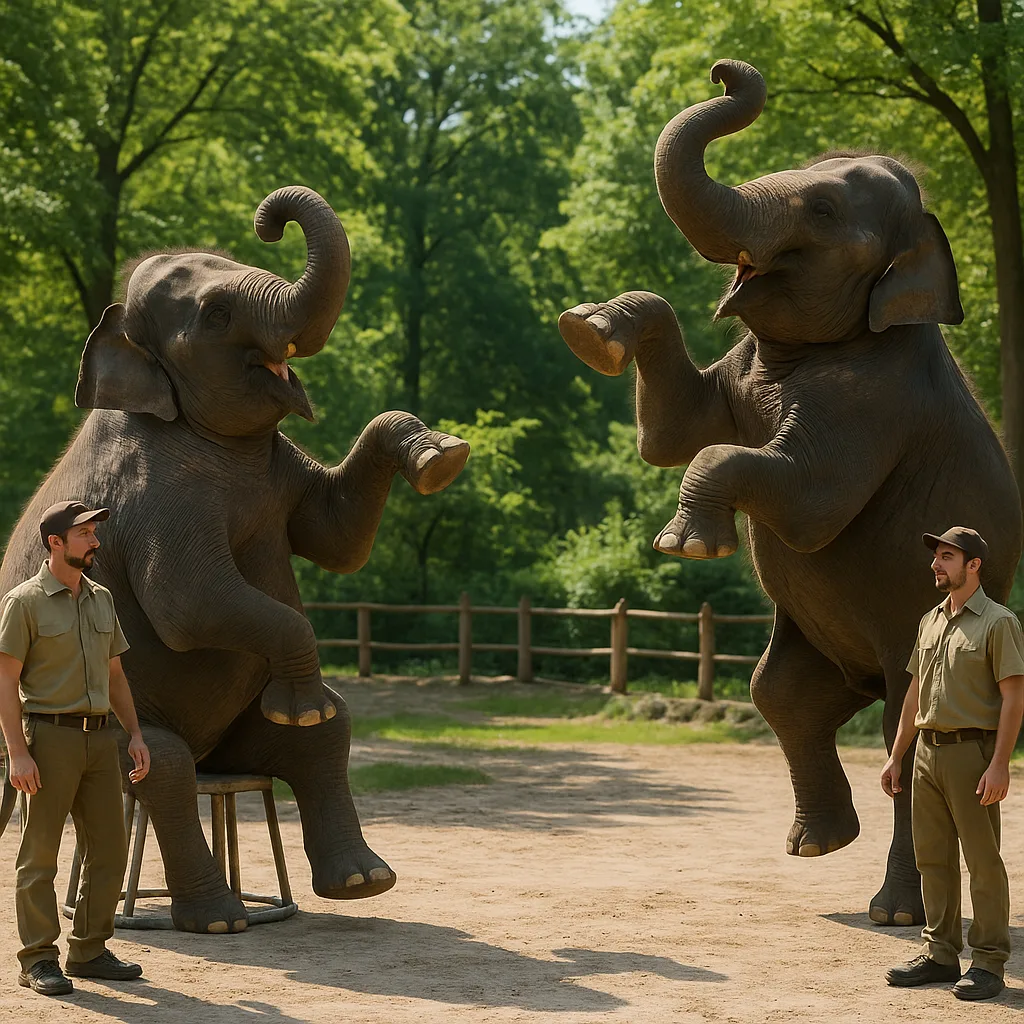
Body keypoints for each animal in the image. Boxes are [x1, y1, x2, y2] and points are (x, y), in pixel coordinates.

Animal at [0, 185, 470, 933]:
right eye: (216, 314)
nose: (269, 217)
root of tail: (212, 760)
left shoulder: (281, 470)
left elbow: (338, 538)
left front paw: (439, 457)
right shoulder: (153, 494)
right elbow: (188, 606)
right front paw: (300, 702)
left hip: (234, 742)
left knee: (325, 734)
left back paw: (362, 878)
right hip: (121, 728)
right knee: (162, 766)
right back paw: (221, 916)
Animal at [558, 59, 1022, 925]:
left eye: (825, 209)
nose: (724, 69)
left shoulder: (876, 400)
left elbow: (807, 504)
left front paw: (685, 544)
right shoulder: (740, 369)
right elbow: (670, 433)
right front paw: (591, 330)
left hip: (906, 645)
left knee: (898, 732)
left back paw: (894, 913)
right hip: (821, 651)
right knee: (781, 692)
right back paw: (817, 843)